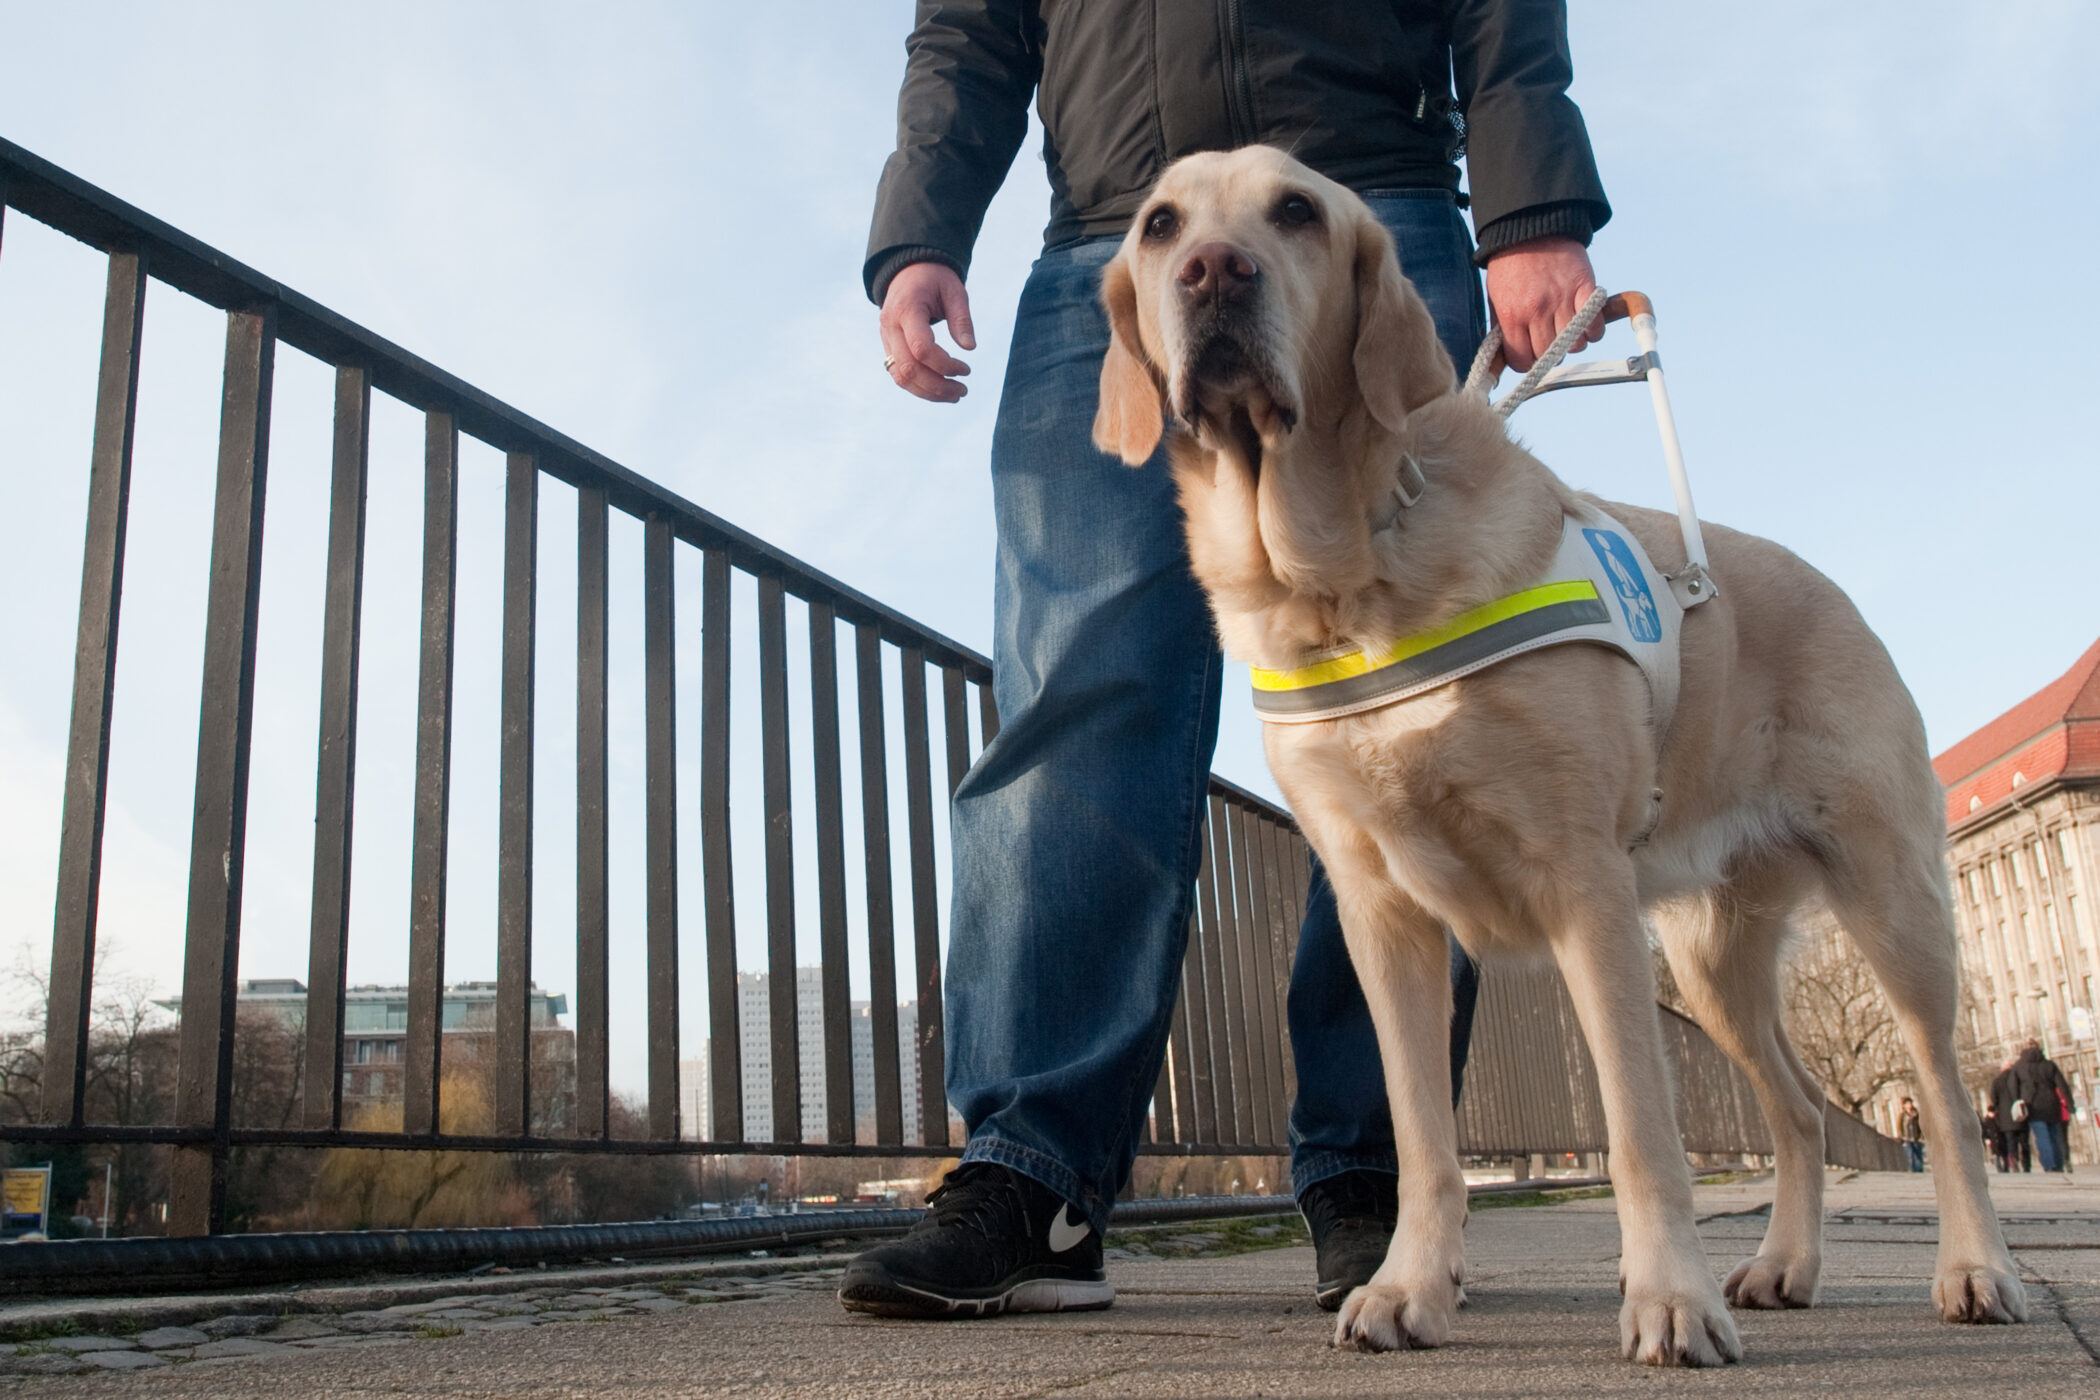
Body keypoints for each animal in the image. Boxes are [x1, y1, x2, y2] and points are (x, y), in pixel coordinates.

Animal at [1092, 147, 2024, 1376]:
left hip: (1892, 902)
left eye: (1295, 210)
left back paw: (1975, 1269)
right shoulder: (1380, 912)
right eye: (1159, 226)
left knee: (1948, 1101)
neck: (1349, 576)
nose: (1212, 272)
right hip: (1715, 959)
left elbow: (1639, 1128)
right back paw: (1785, 1263)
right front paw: (1410, 1286)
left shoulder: (1585, 882)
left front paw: (1669, 1297)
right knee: (1797, 1107)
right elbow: (1423, 1137)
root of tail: (1826, 582)